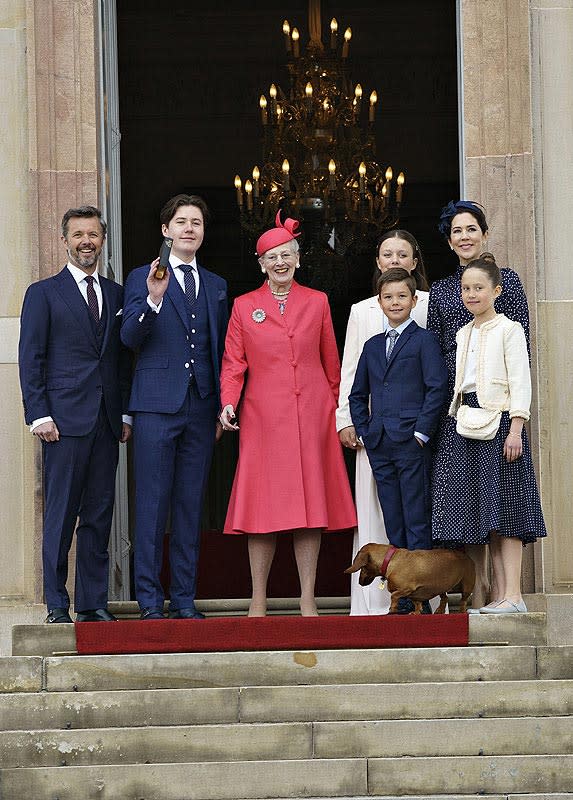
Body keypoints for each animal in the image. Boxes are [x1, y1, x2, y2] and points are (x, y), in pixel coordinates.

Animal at [344, 544, 474, 612]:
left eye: (362, 567)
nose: (359, 583)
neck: (391, 560)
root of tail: (467, 556)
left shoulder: (406, 589)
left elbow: (394, 596)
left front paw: (392, 610)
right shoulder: (414, 595)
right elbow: (417, 604)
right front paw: (415, 613)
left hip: (466, 587)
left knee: (463, 601)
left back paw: (462, 611)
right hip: (441, 588)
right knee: (445, 599)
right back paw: (439, 611)